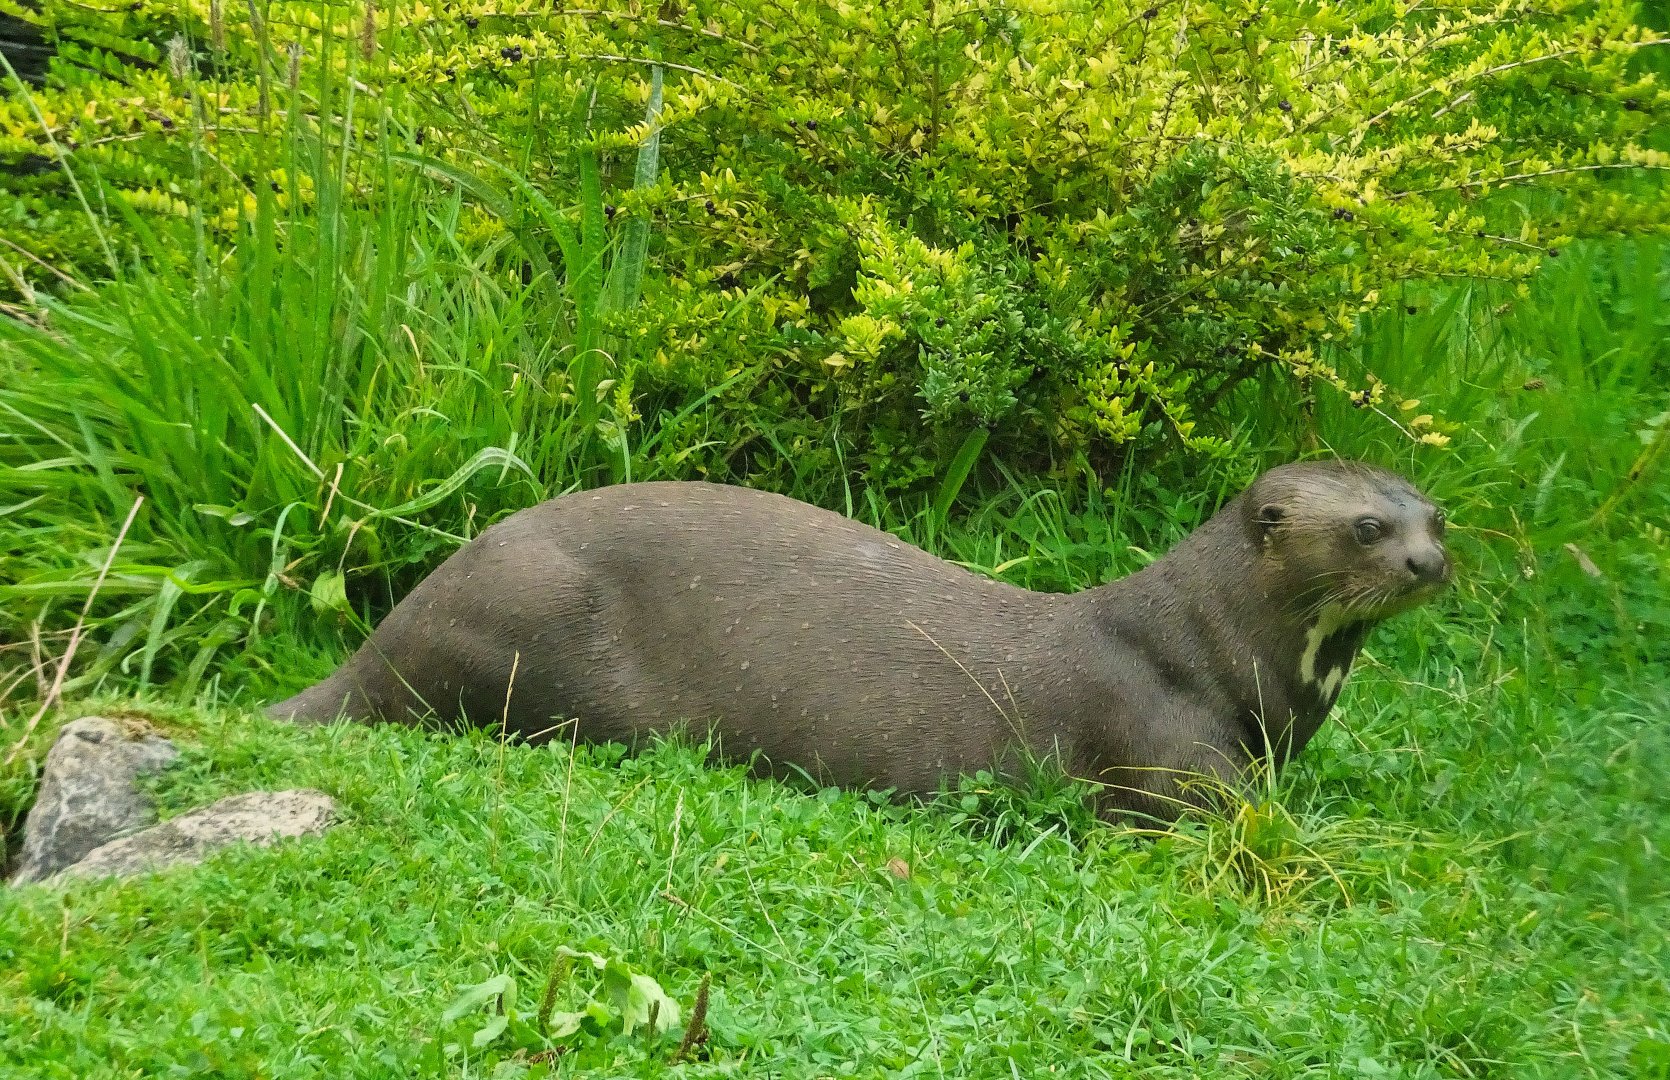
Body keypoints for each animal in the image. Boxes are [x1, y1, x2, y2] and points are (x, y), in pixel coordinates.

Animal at [268, 460, 1450, 821]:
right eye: (1364, 526)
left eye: (1435, 515)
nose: (1428, 564)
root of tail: (401, 619)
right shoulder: (1169, 748)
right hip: (538, 634)